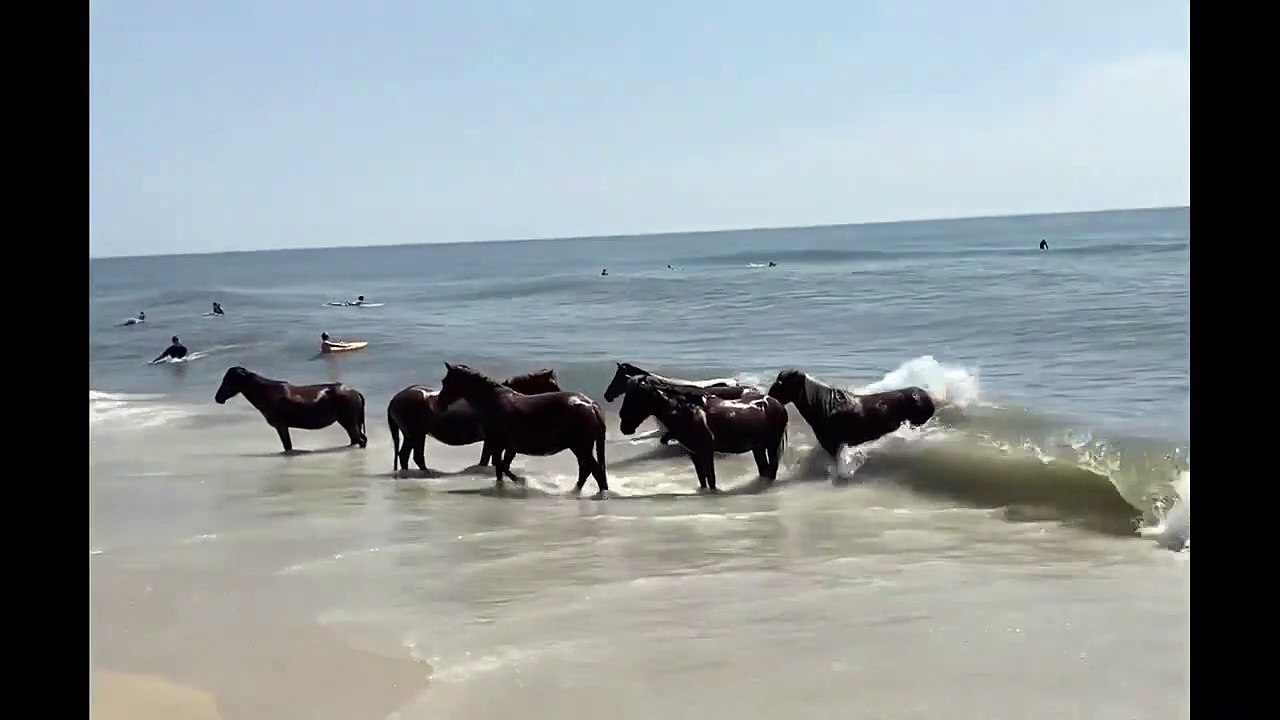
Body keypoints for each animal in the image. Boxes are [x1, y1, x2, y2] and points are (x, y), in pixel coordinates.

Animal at [213, 366, 368, 453]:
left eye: (228, 380)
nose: (217, 398)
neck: (266, 392)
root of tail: (356, 392)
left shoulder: (281, 426)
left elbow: (287, 446)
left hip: (349, 421)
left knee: (360, 440)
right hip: (346, 422)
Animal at [386, 369, 562, 474]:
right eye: (553, 384)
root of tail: (395, 398)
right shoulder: (491, 441)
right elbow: (486, 460)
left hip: (416, 435)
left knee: (409, 456)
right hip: (414, 435)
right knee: (408, 456)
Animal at [437, 362, 609, 495]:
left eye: (445, 381)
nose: (439, 403)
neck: (492, 401)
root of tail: (591, 405)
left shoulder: (497, 444)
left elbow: (501, 467)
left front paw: (520, 481)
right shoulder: (507, 446)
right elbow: (502, 467)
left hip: (581, 447)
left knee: (593, 470)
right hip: (582, 447)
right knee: (587, 470)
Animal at [617, 377, 788, 492]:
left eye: (637, 396)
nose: (624, 427)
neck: (687, 412)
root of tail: (776, 403)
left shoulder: (706, 452)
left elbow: (710, 478)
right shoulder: (694, 454)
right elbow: (702, 479)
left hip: (772, 444)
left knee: (771, 469)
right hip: (758, 447)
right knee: (764, 469)